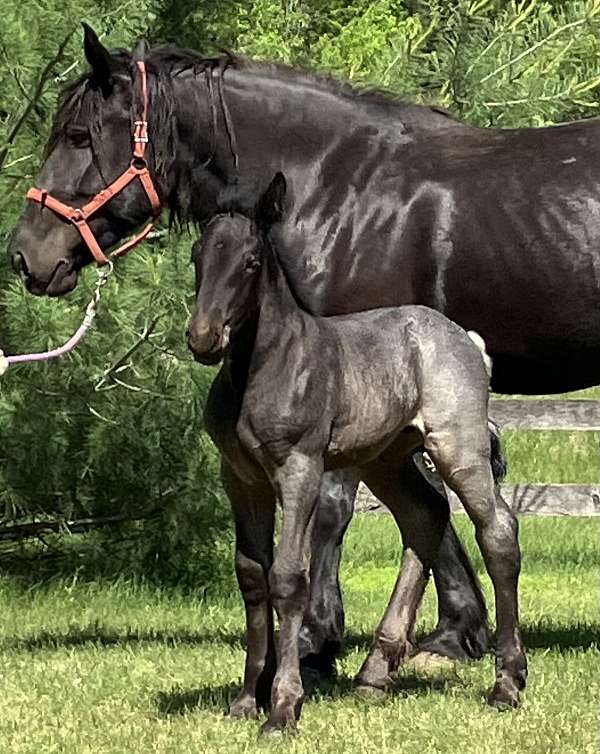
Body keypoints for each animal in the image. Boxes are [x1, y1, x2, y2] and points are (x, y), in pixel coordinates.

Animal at [8, 29, 600, 672]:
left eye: (78, 135)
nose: (25, 256)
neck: (340, 186)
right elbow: (425, 508)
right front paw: (453, 632)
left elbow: (337, 509)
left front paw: (318, 639)